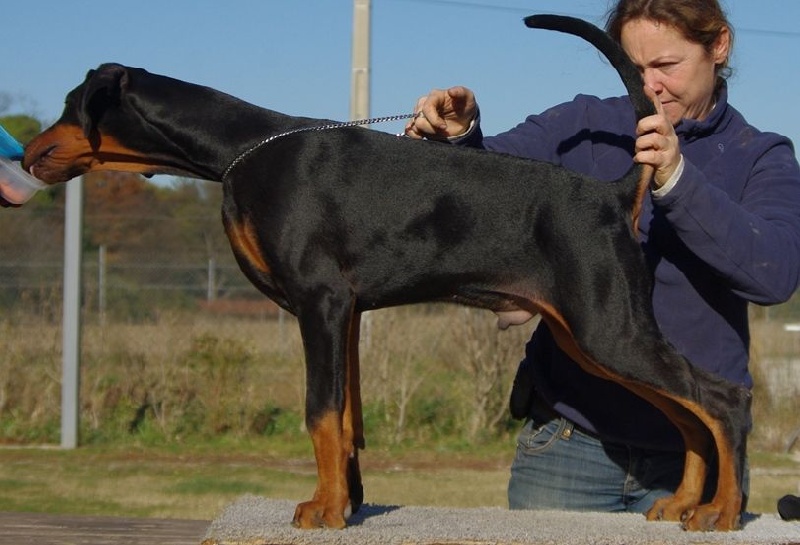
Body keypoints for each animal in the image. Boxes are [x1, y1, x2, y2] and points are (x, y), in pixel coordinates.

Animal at [22, 15, 749, 531]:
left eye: (68, 103)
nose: (26, 153)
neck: (240, 150)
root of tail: (611, 192)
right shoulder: (344, 314)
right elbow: (346, 419)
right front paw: (346, 503)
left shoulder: (319, 302)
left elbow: (319, 411)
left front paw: (321, 512)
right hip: (588, 336)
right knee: (686, 408)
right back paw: (682, 504)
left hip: (607, 328)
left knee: (718, 398)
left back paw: (720, 511)